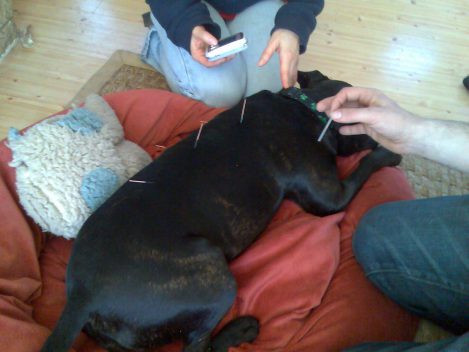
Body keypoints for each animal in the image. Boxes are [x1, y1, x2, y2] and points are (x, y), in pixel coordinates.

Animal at [40, 71, 400, 352]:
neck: (308, 107)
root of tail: (82, 296)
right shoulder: (331, 196)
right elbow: (363, 168)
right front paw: (387, 154)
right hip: (215, 280)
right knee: (197, 345)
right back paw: (242, 329)